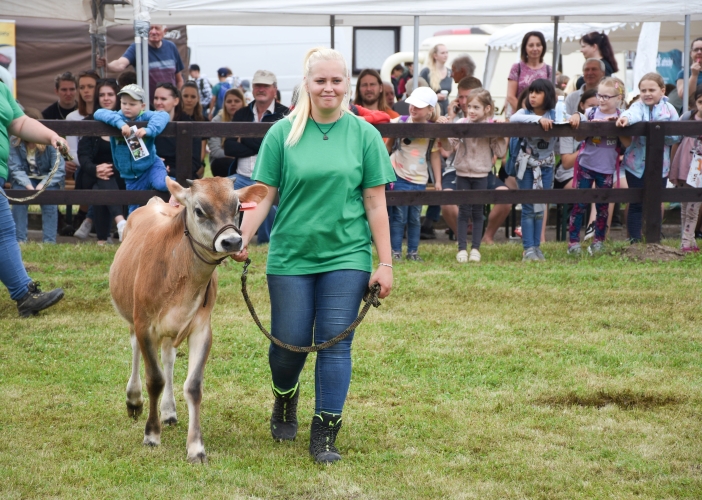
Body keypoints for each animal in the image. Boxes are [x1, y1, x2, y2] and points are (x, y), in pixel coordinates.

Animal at [111, 178, 268, 462]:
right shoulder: (145, 325)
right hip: (132, 316)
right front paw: (152, 435)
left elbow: (193, 386)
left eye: (238, 207)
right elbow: (155, 379)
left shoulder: (201, 329)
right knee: (136, 350)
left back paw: (169, 411)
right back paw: (134, 400)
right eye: (198, 210)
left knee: (168, 358)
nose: (232, 241)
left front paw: (196, 447)